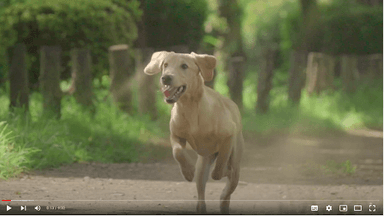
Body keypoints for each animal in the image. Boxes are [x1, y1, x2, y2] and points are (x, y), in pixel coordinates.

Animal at [144, 51, 243, 214]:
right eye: (165, 65)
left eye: (184, 66)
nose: (166, 78)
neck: (190, 107)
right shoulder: (176, 135)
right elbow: (177, 152)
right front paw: (188, 171)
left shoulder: (228, 135)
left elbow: (221, 163)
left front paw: (220, 172)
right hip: (202, 166)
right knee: (202, 190)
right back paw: (201, 207)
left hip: (235, 162)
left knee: (229, 180)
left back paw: (223, 195)